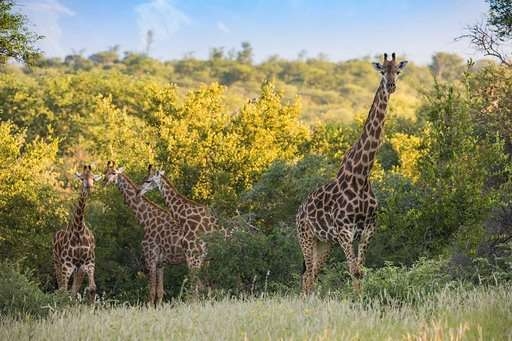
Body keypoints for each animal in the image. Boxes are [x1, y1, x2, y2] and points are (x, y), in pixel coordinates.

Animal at [53, 165, 102, 300]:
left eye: (93, 179)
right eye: (81, 178)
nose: (89, 187)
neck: (79, 230)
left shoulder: (89, 262)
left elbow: (92, 288)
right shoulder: (67, 264)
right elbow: (64, 290)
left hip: (79, 268)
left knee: (73, 290)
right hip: (57, 261)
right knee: (62, 288)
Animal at [102, 161, 206, 304]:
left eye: (113, 173)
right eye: (104, 172)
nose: (104, 182)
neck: (146, 220)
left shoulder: (150, 259)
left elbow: (151, 292)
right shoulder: (161, 263)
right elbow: (160, 292)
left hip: (194, 260)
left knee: (197, 288)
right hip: (199, 261)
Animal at [296, 52, 408, 292]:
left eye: (398, 71)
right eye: (382, 71)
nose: (391, 86)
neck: (361, 176)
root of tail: (298, 211)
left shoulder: (367, 230)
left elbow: (360, 271)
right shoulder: (344, 232)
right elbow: (353, 270)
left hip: (324, 242)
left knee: (313, 273)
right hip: (306, 237)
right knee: (307, 275)